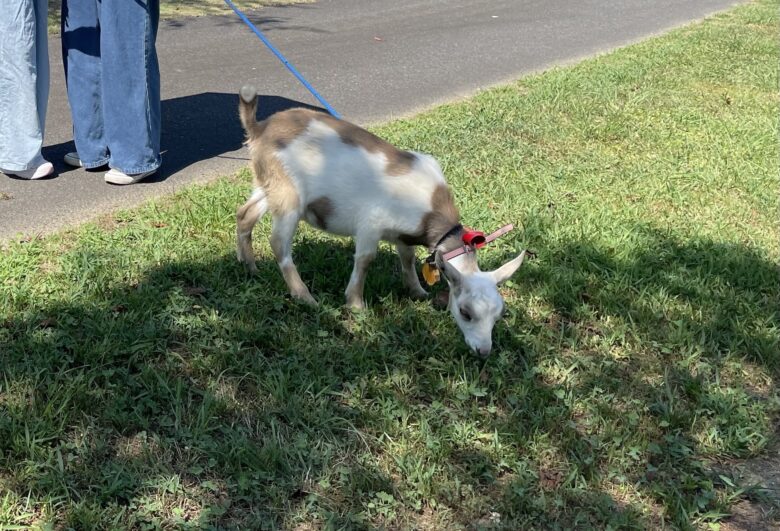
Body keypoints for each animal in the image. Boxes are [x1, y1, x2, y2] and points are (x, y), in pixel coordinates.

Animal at [236, 85, 524, 356]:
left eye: (499, 314)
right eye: (465, 312)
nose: (483, 351)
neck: (430, 207)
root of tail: (259, 128)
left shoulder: (403, 234)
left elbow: (407, 259)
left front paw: (417, 292)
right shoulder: (370, 224)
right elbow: (365, 260)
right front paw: (356, 304)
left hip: (268, 184)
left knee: (245, 214)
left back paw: (249, 266)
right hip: (289, 195)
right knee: (278, 242)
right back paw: (304, 296)